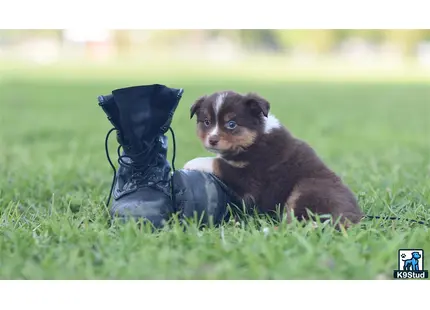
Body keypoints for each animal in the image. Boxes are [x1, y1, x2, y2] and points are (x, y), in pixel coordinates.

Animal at [183, 90, 364, 228]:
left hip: (306, 189)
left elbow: (218, 163)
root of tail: (355, 218)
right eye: (206, 122)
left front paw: (192, 162)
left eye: (232, 124)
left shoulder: (252, 176)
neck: (256, 138)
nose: (212, 140)